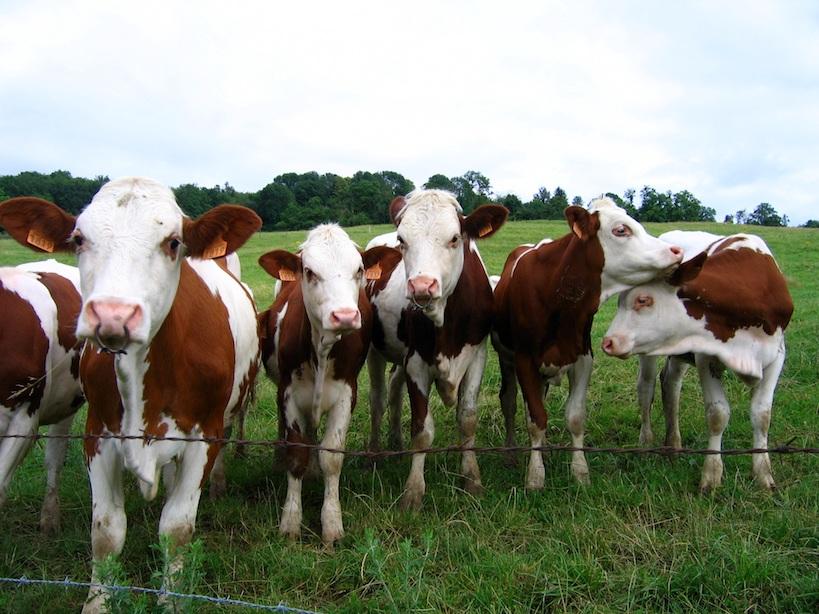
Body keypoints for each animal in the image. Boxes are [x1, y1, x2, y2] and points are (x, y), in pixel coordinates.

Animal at [258, 224, 400, 545]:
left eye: (359, 269)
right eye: (309, 271)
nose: (344, 316)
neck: (322, 349)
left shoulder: (347, 393)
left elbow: (332, 456)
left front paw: (332, 523)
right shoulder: (289, 393)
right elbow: (296, 453)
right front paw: (290, 521)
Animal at [366, 189, 508, 510]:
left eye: (455, 238)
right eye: (402, 239)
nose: (422, 286)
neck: (446, 319)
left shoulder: (477, 355)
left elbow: (467, 419)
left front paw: (472, 480)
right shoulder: (417, 363)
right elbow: (422, 429)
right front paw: (413, 492)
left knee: (394, 388)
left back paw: (395, 441)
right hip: (374, 351)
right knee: (378, 399)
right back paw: (376, 452)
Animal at [492, 197, 684, 490]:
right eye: (620, 230)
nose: (676, 251)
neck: (559, 299)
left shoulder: (583, 358)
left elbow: (574, 417)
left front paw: (580, 472)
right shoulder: (525, 360)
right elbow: (535, 419)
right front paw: (535, 476)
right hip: (507, 359)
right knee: (511, 402)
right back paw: (512, 453)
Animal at [602, 233, 793, 492]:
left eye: (643, 299)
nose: (608, 342)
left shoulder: (776, 355)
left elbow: (762, 415)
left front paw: (763, 475)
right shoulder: (706, 356)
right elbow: (717, 414)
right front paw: (711, 477)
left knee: (670, 386)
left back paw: (673, 445)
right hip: (649, 351)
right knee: (646, 389)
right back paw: (646, 443)